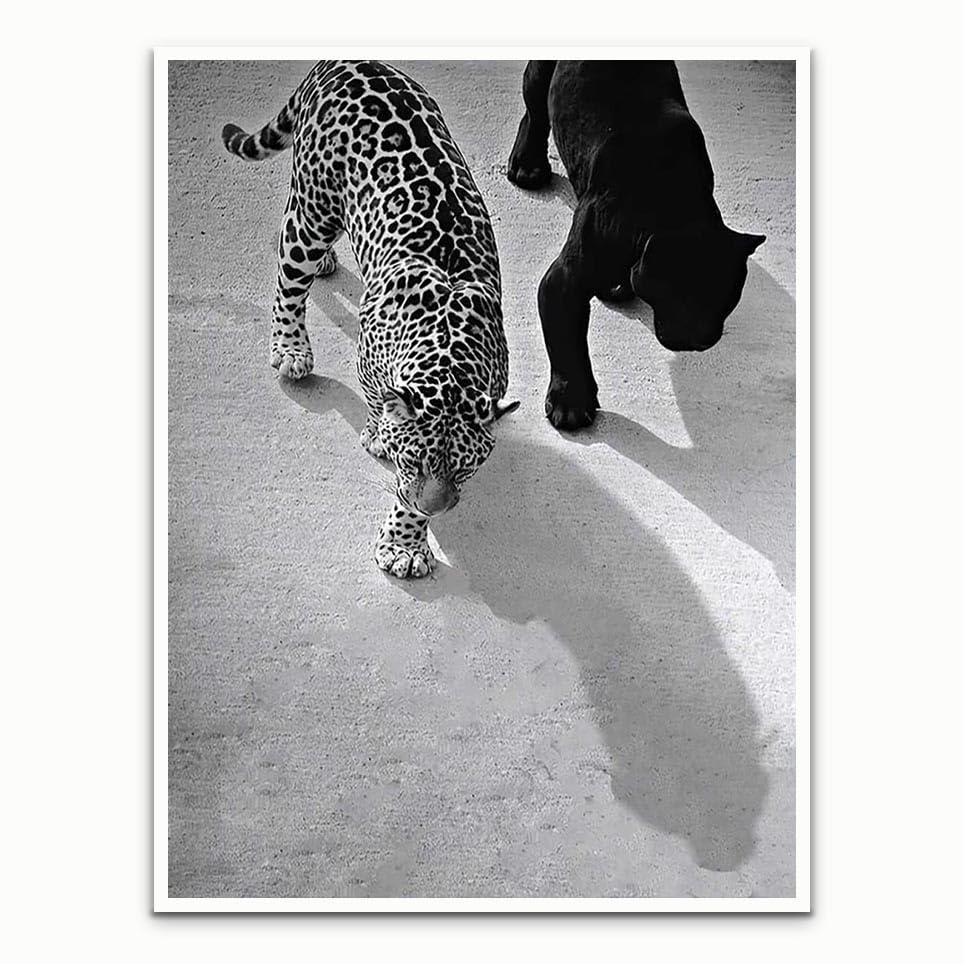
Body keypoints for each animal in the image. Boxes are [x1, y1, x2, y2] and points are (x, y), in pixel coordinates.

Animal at [222, 60, 517, 579]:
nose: (437, 507)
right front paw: (381, 445)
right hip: (312, 209)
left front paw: (408, 539)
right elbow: (382, 411)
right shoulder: (373, 364)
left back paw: (325, 264)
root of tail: (345, 62)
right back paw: (290, 348)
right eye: (414, 461)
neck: (450, 348)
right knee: (288, 276)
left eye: (464, 467)